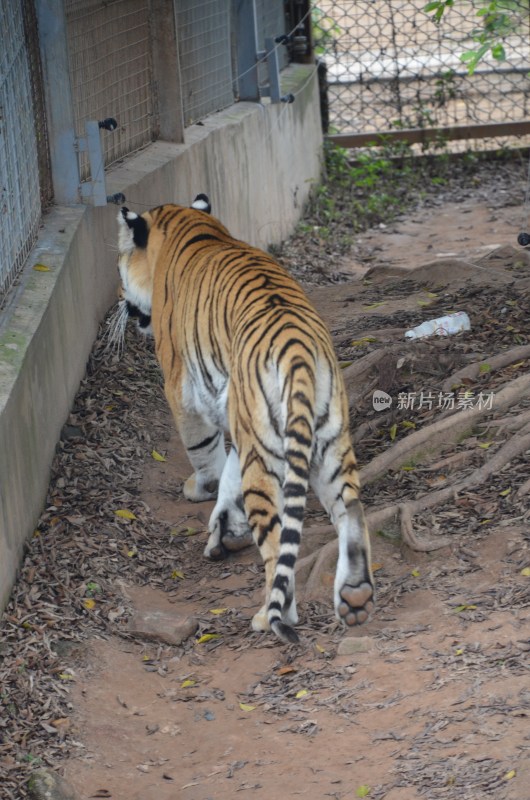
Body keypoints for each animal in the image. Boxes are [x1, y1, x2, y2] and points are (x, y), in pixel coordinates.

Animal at [115, 195, 372, 644]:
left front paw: (201, 492)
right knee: (352, 512)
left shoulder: (182, 389)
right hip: (330, 444)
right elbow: (229, 475)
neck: (187, 223)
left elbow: (206, 455)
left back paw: (272, 616)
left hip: (268, 460)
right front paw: (224, 530)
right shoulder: (239, 418)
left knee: (277, 544)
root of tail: (299, 350)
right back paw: (354, 596)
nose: (120, 299)